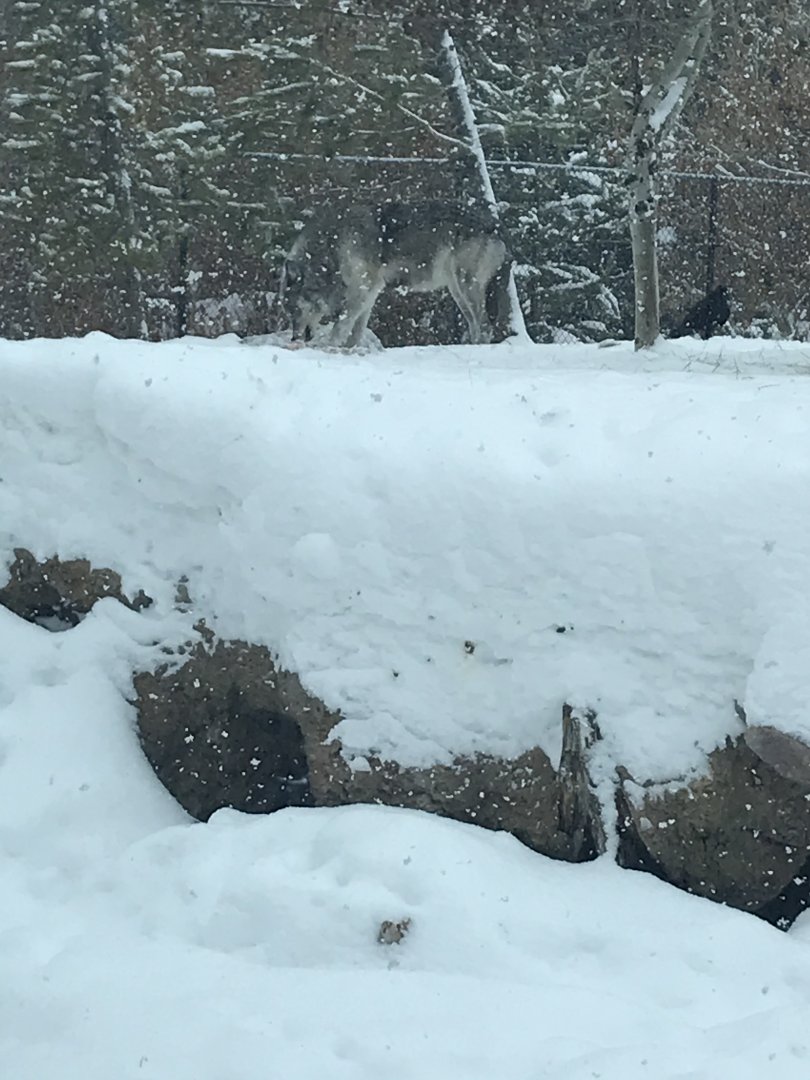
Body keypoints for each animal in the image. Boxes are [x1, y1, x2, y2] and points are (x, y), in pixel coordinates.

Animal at [279, 201, 511, 348]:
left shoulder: (361, 289)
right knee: (475, 326)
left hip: (466, 285)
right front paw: (349, 351)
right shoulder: (370, 290)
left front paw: (328, 349)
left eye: (293, 310)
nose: (294, 338)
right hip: (457, 291)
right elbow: (357, 331)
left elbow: (341, 325)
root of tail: (498, 225)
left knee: (485, 326)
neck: (331, 246)